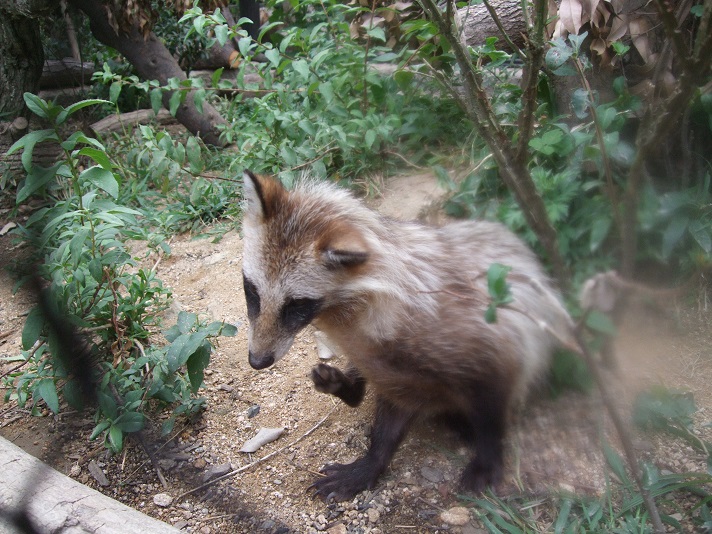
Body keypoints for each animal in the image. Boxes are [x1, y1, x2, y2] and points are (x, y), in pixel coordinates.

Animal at [241, 171, 568, 502]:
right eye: (252, 290)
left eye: (296, 304)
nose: (257, 361)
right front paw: (373, 459)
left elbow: (492, 402)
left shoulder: (482, 343)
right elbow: (390, 419)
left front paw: (488, 455)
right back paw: (349, 386)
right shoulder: (390, 368)